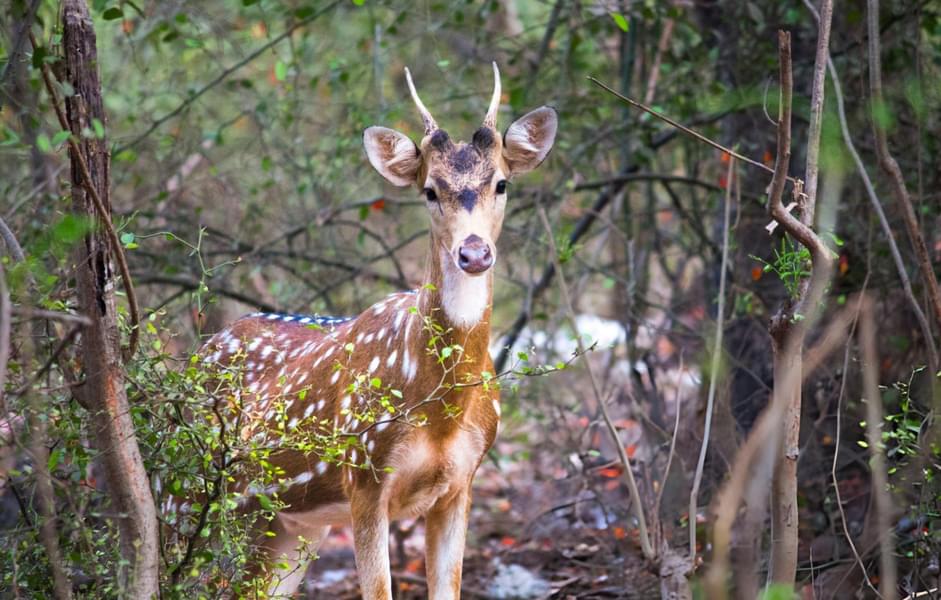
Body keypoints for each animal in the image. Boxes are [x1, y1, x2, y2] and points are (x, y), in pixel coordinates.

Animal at [195, 63, 556, 596]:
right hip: (192, 489)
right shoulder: (363, 475)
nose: (473, 253)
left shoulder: (462, 482)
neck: (441, 415)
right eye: (430, 190)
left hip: (287, 522)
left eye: (502, 184)